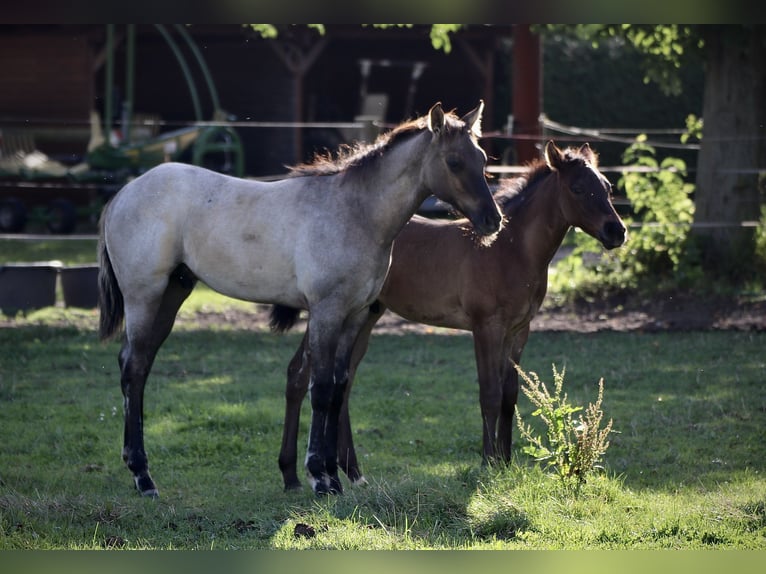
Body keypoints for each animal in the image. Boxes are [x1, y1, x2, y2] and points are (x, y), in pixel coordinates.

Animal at [97, 101, 504, 498]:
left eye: (483, 158)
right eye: (454, 161)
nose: (492, 220)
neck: (354, 212)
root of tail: (123, 194)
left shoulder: (354, 315)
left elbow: (338, 388)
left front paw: (332, 476)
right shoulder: (326, 312)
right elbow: (321, 389)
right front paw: (320, 478)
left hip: (172, 293)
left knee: (136, 366)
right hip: (145, 296)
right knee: (134, 368)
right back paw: (143, 476)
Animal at [272, 140, 628, 490]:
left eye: (607, 187)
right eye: (577, 188)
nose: (617, 231)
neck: (509, 250)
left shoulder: (519, 331)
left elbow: (510, 395)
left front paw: (506, 462)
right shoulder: (486, 328)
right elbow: (490, 394)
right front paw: (488, 463)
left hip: (365, 315)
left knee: (342, 385)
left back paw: (353, 472)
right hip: (330, 313)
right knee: (300, 375)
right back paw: (295, 474)